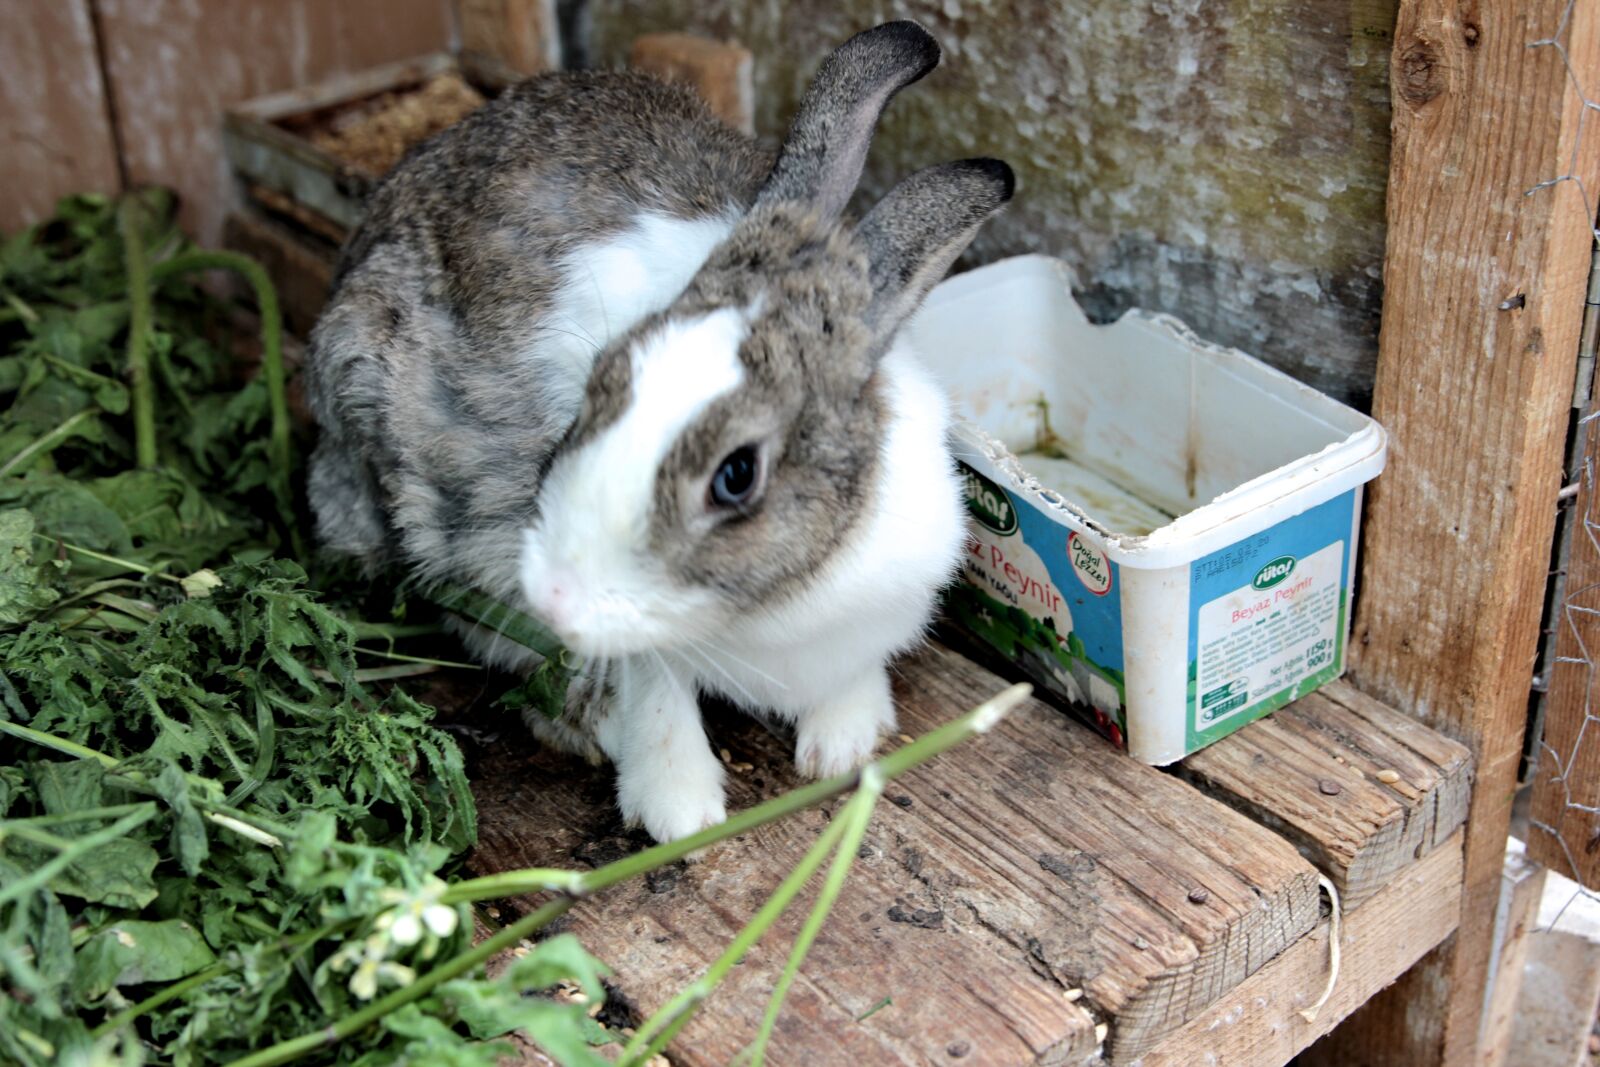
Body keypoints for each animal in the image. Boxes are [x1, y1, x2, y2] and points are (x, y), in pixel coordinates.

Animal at [304, 19, 1015, 844]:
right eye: (601, 381)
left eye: (736, 475)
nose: (556, 594)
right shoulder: (625, 641)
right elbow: (656, 703)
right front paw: (680, 810)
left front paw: (842, 743)